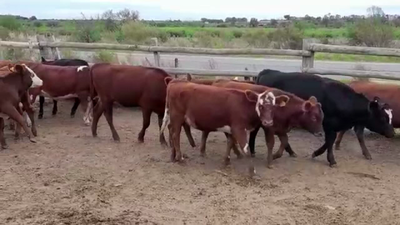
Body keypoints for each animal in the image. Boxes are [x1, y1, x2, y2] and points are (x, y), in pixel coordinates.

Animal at [161, 78, 290, 177]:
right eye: (260, 105)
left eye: (274, 107)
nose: (268, 122)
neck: (244, 105)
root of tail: (175, 82)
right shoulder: (239, 129)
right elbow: (246, 149)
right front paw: (251, 171)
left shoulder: (232, 129)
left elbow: (230, 142)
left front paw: (226, 161)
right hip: (177, 117)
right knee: (175, 135)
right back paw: (180, 158)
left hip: (175, 119)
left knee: (171, 131)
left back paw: (173, 157)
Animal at [189, 78, 324, 167]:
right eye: (313, 117)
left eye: (322, 117)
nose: (320, 133)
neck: (283, 108)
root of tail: (219, 81)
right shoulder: (269, 128)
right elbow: (271, 143)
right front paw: (270, 161)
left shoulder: (280, 129)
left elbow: (285, 141)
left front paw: (276, 155)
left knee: (211, 133)